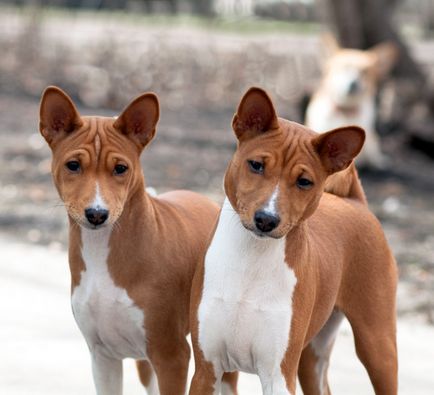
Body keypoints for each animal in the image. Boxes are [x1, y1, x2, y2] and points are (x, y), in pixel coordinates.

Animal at [39, 87, 237, 395]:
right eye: (73, 165)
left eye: (121, 168)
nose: (97, 214)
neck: (102, 257)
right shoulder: (103, 356)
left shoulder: (172, 355)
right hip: (146, 361)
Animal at [188, 88, 398, 394]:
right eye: (256, 165)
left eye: (304, 182)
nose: (266, 219)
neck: (251, 260)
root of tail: (354, 202)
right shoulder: (208, 369)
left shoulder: (278, 374)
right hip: (311, 357)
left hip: (377, 346)